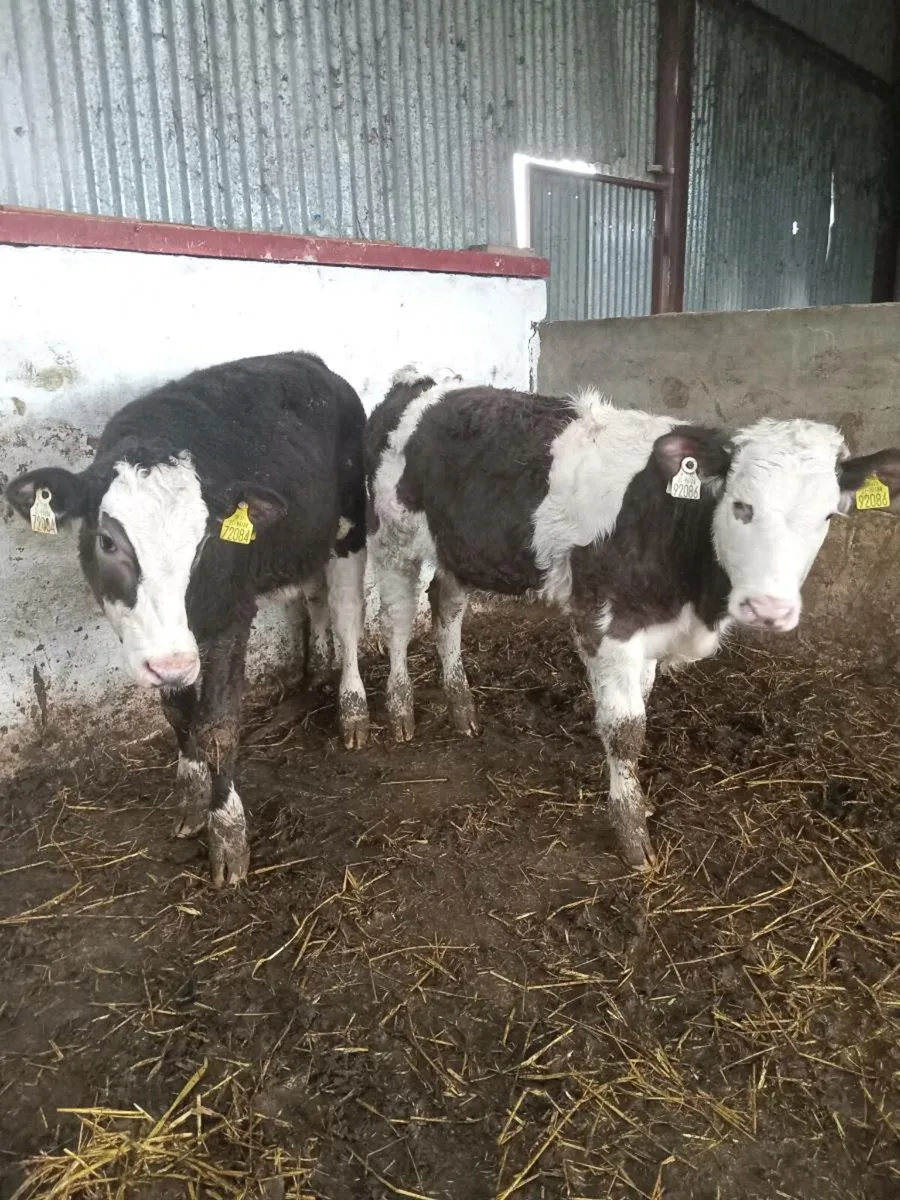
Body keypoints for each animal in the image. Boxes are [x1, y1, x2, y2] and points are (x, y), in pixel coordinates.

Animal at [6, 351, 369, 886]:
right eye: (107, 541)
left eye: (204, 542)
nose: (172, 662)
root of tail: (308, 360)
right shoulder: (164, 647)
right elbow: (179, 713)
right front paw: (194, 800)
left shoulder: (229, 616)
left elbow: (216, 724)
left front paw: (228, 835)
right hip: (301, 542)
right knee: (313, 599)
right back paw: (309, 686)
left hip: (350, 521)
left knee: (346, 614)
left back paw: (352, 709)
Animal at [365, 367, 900, 869]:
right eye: (741, 506)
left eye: (828, 517)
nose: (769, 609)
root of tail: (420, 383)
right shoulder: (608, 622)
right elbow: (626, 729)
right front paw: (631, 833)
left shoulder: (650, 632)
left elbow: (639, 703)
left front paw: (636, 804)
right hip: (391, 537)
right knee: (397, 619)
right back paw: (400, 710)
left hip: (460, 547)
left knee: (447, 606)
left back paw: (462, 708)